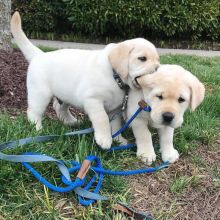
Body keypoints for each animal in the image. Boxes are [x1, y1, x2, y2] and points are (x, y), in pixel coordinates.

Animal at [10, 12, 160, 150]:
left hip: (65, 94)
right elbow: (102, 119)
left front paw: (119, 140)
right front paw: (105, 139)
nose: (158, 69)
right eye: (142, 58)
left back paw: (71, 122)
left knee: (59, 107)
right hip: (40, 94)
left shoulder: (115, 109)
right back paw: (37, 129)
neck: (115, 77)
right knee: (34, 111)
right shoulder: (93, 100)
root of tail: (39, 55)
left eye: (157, 60)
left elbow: (116, 124)